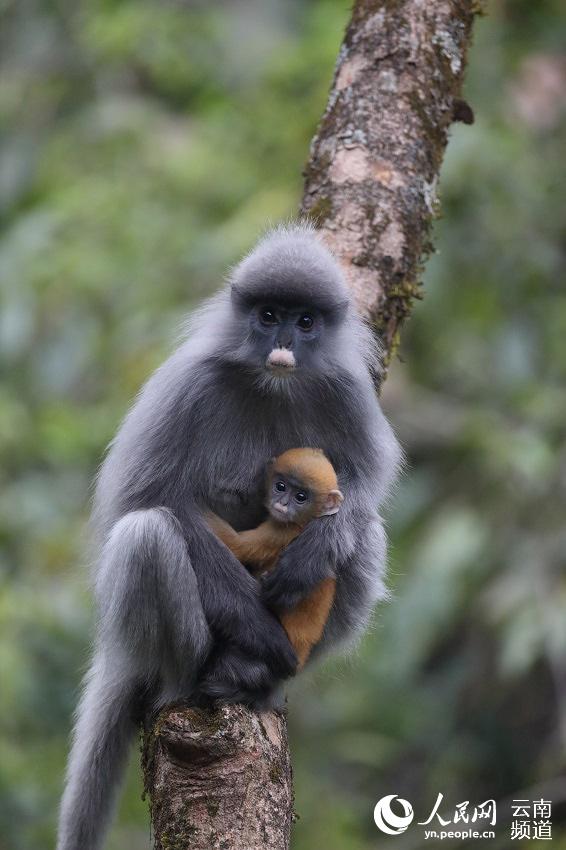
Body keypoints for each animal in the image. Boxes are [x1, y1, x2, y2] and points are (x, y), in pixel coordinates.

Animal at [206, 448, 344, 664]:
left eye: (301, 497)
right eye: (281, 486)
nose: (283, 503)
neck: (302, 522)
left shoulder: (281, 532)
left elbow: (238, 545)